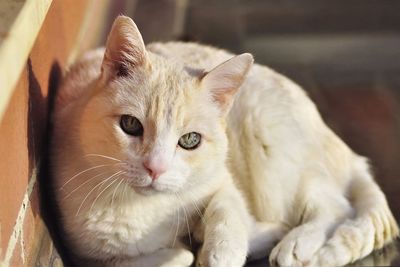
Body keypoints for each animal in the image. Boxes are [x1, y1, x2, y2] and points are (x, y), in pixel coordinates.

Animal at [51, 15, 398, 267]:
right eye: (130, 125)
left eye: (190, 140)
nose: (155, 169)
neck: (143, 208)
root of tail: (346, 151)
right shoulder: (84, 254)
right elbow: (163, 258)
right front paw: (187, 248)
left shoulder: (221, 180)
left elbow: (227, 213)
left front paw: (224, 249)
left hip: (269, 148)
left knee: (335, 207)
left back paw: (295, 242)